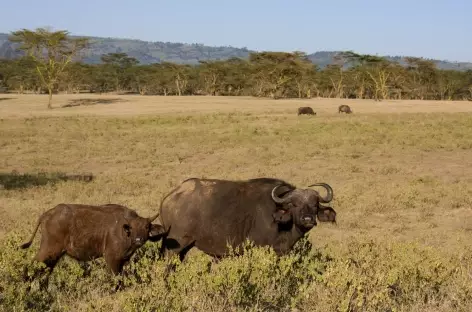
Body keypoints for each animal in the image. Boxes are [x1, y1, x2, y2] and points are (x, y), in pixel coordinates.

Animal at [20, 204, 166, 288]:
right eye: (132, 227)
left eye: (146, 227)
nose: (138, 239)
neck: (124, 232)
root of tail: (47, 214)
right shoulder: (111, 259)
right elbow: (115, 279)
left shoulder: (124, 260)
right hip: (48, 251)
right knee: (30, 267)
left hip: (52, 257)